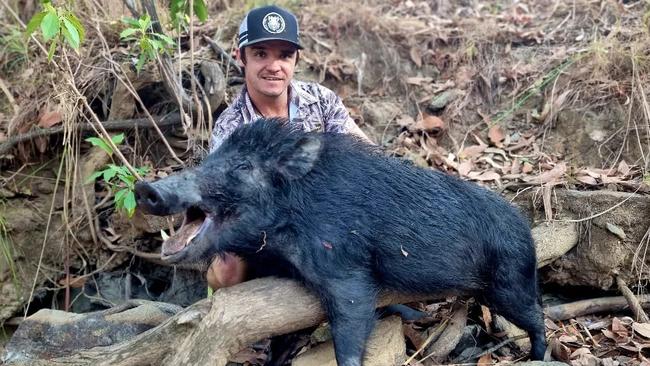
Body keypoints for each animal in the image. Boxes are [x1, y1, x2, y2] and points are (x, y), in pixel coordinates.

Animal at [134, 118, 544, 364]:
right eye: (208, 160)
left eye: (243, 167)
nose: (145, 188)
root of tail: (525, 227)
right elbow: (284, 337)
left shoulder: (345, 266)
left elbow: (351, 322)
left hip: (509, 278)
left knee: (536, 316)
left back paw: (538, 355)